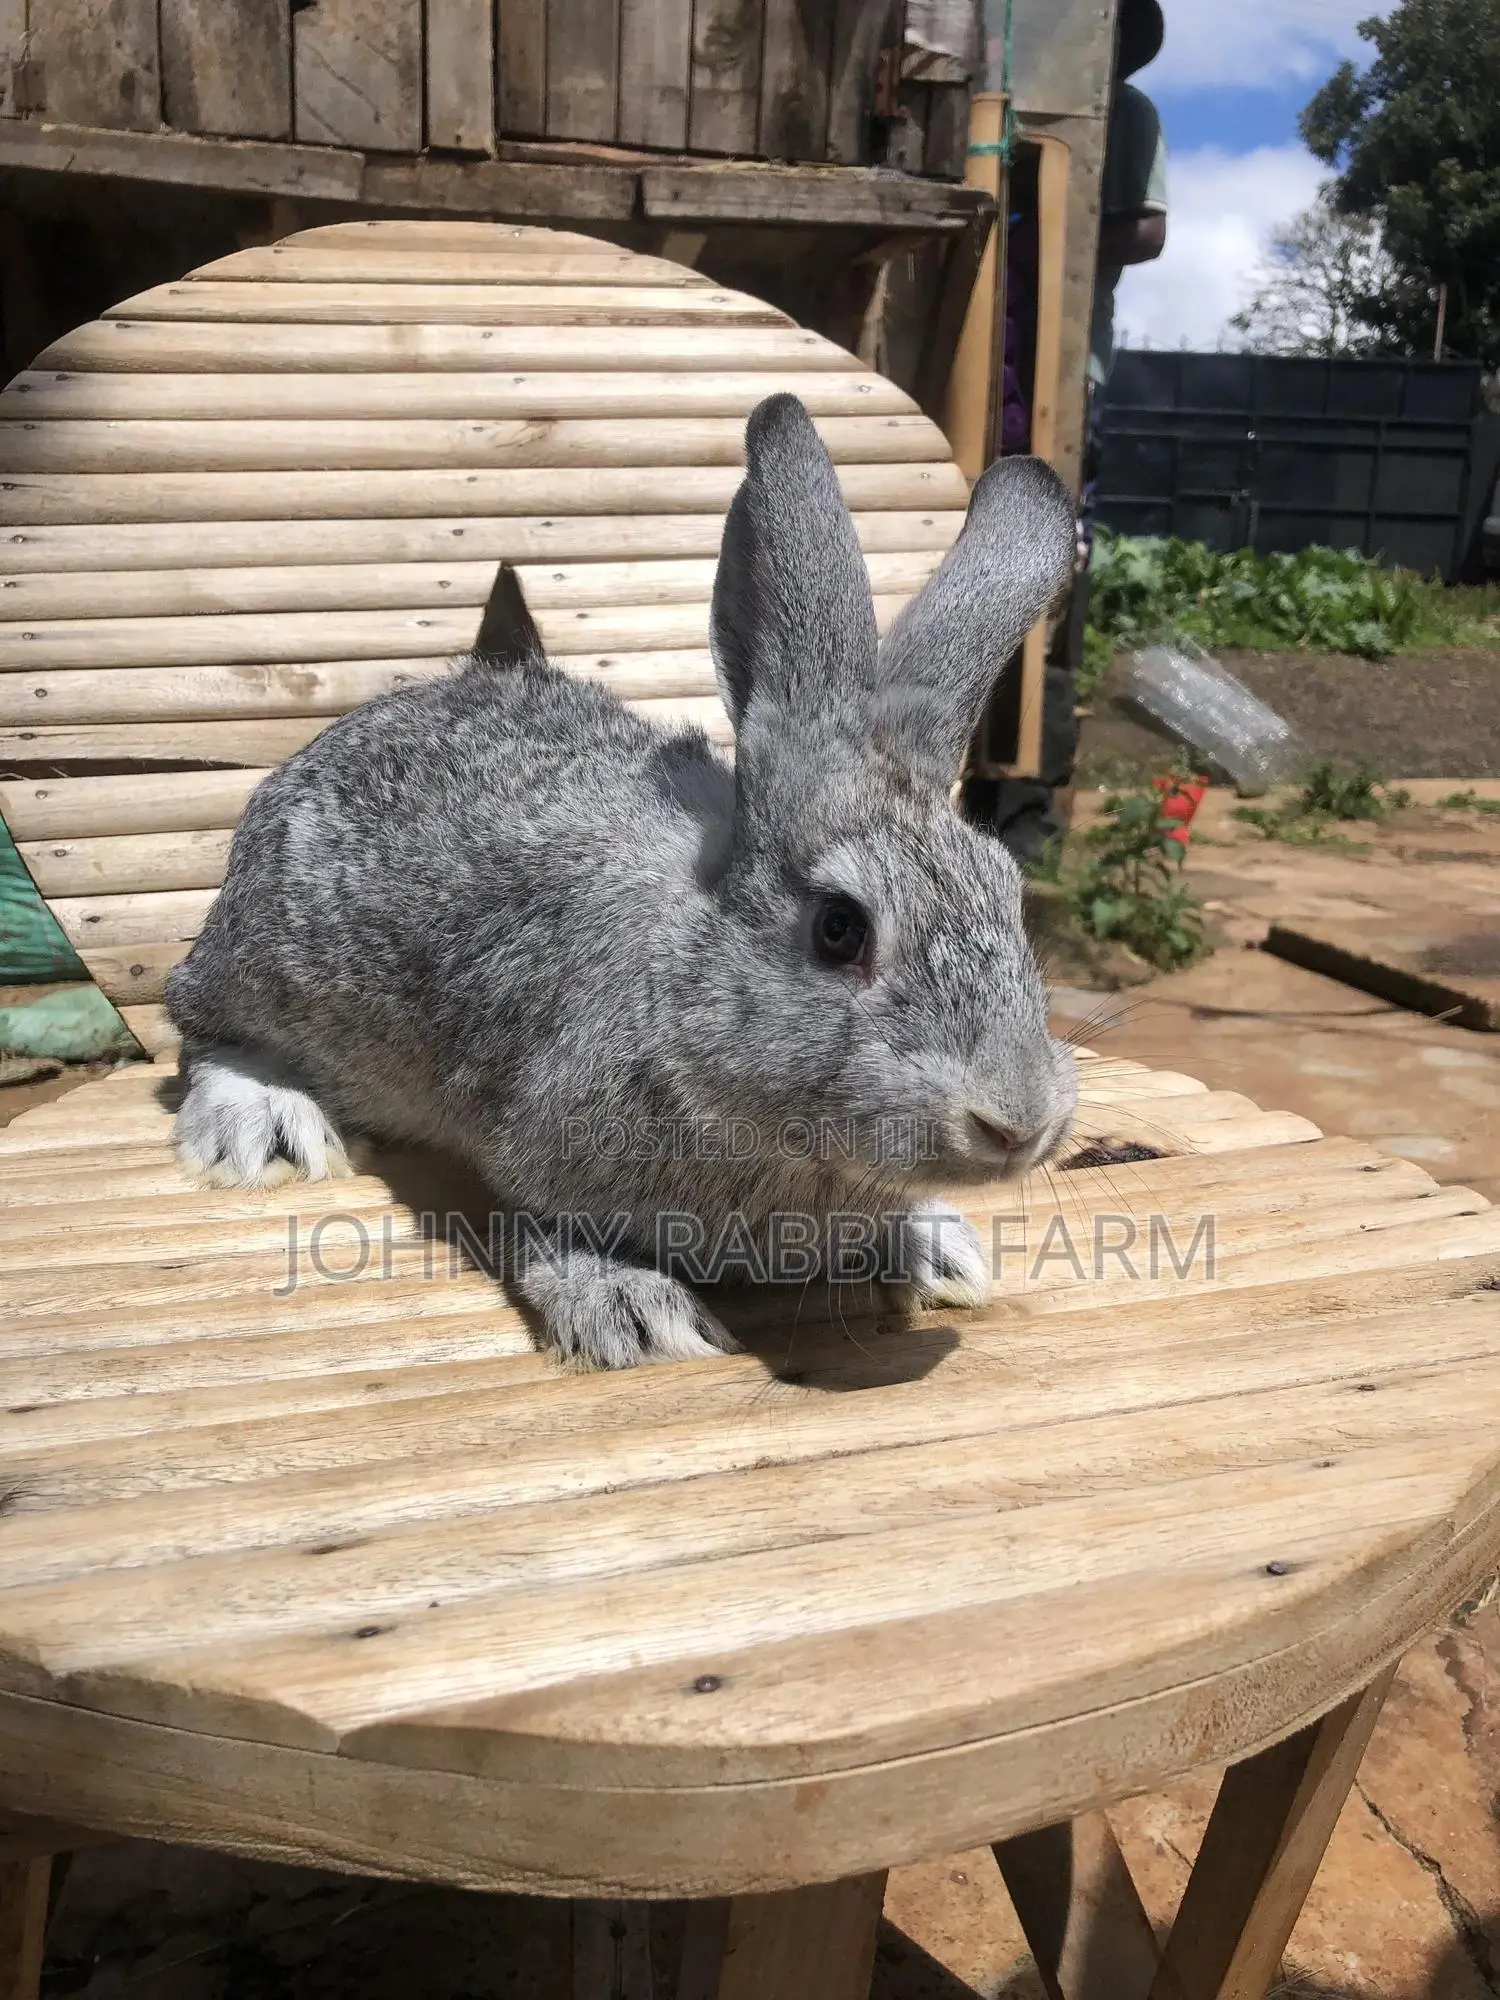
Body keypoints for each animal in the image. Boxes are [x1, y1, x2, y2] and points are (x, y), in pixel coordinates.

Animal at [166, 394, 1080, 1369]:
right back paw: (263, 1129)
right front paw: (637, 1313)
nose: (1018, 1120)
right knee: (201, 1033)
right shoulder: (535, 1141)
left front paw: (938, 1251)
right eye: (840, 929)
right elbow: (544, 1228)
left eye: (1010, 893)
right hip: (272, 963)